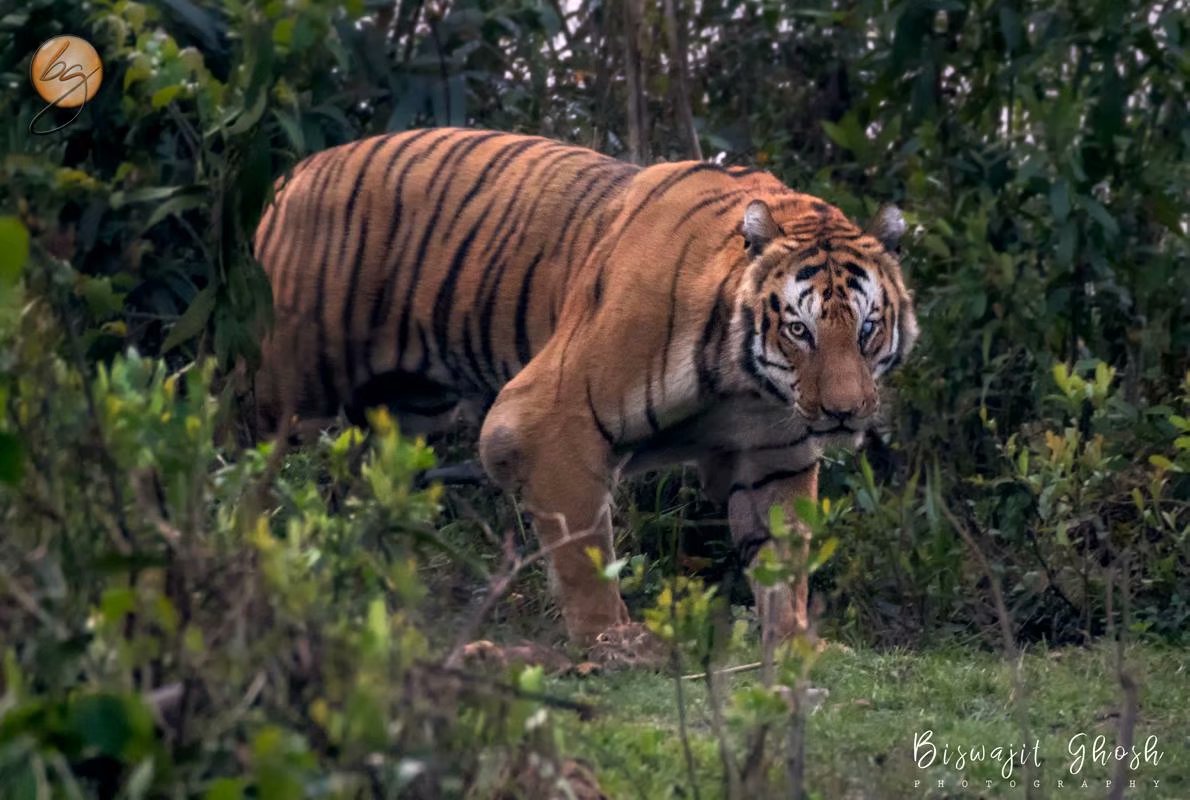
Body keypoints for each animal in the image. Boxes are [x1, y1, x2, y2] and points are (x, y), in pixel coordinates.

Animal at [253, 127, 918, 657]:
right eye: (800, 330)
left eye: (866, 329)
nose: (843, 413)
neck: (748, 385)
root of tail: (290, 177)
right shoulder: (542, 419)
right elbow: (584, 548)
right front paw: (613, 641)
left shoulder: (775, 455)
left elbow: (784, 556)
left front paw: (796, 642)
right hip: (302, 399)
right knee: (263, 485)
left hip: (398, 416)